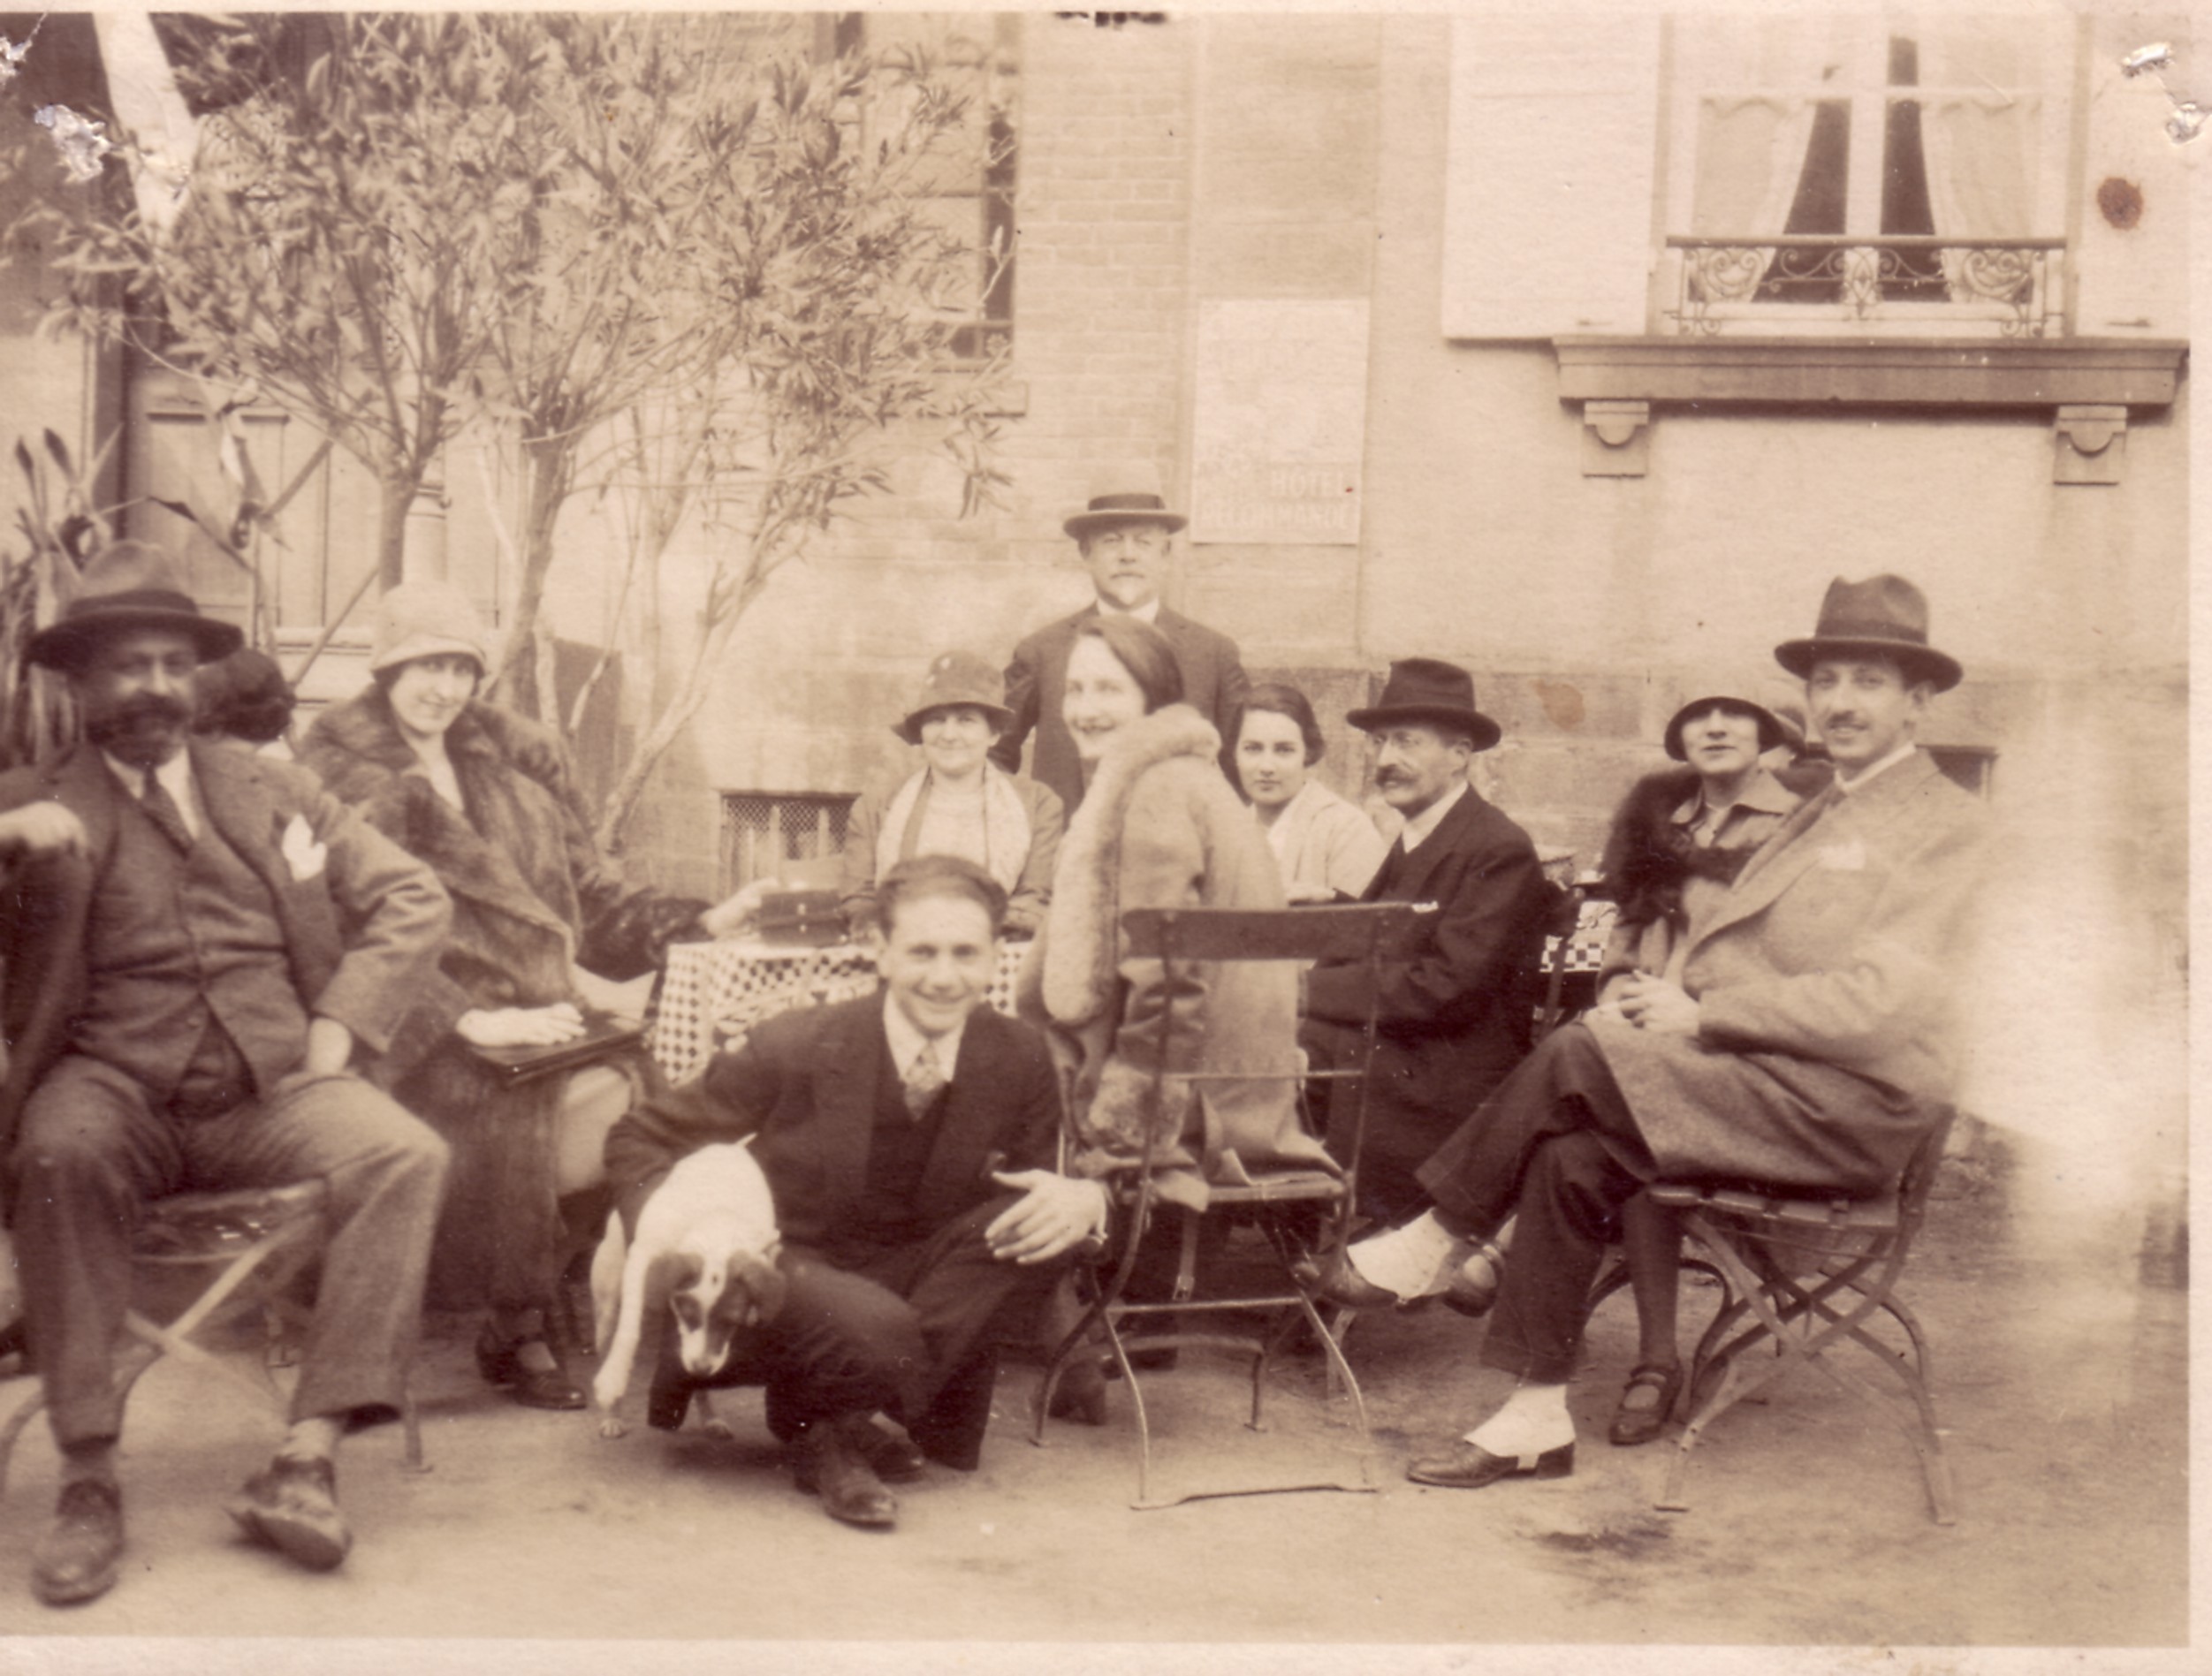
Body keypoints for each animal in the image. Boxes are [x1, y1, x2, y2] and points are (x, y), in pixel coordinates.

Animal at [590, 1141, 785, 1439]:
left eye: (731, 1322)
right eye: (687, 1314)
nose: (702, 1369)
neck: (715, 1213)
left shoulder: (764, 1246)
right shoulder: (642, 1256)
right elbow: (629, 1330)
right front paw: (613, 1379)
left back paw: (710, 1417)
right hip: (606, 1310)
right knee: (610, 1333)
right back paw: (612, 1415)